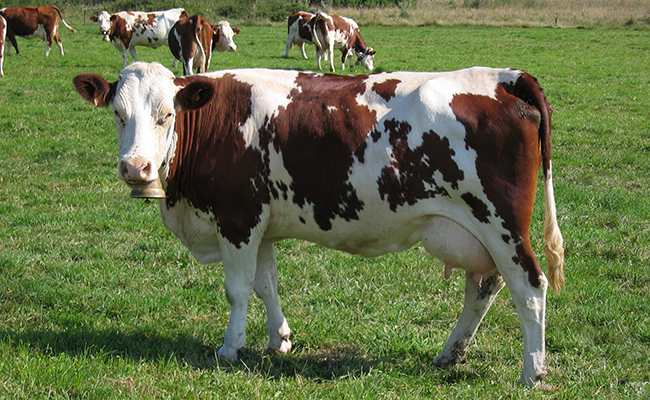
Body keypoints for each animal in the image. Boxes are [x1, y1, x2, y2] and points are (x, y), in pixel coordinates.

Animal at [73, 62, 565, 387]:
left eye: (166, 115)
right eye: (117, 114)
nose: (135, 167)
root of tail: (505, 77)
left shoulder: (237, 218)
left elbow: (237, 289)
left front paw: (231, 348)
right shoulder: (261, 222)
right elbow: (265, 284)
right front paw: (279, 340)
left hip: (500, 222)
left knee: (529, 287)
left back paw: (532, 371)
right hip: (477, 232)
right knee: (484, 288)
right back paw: (450, 353)